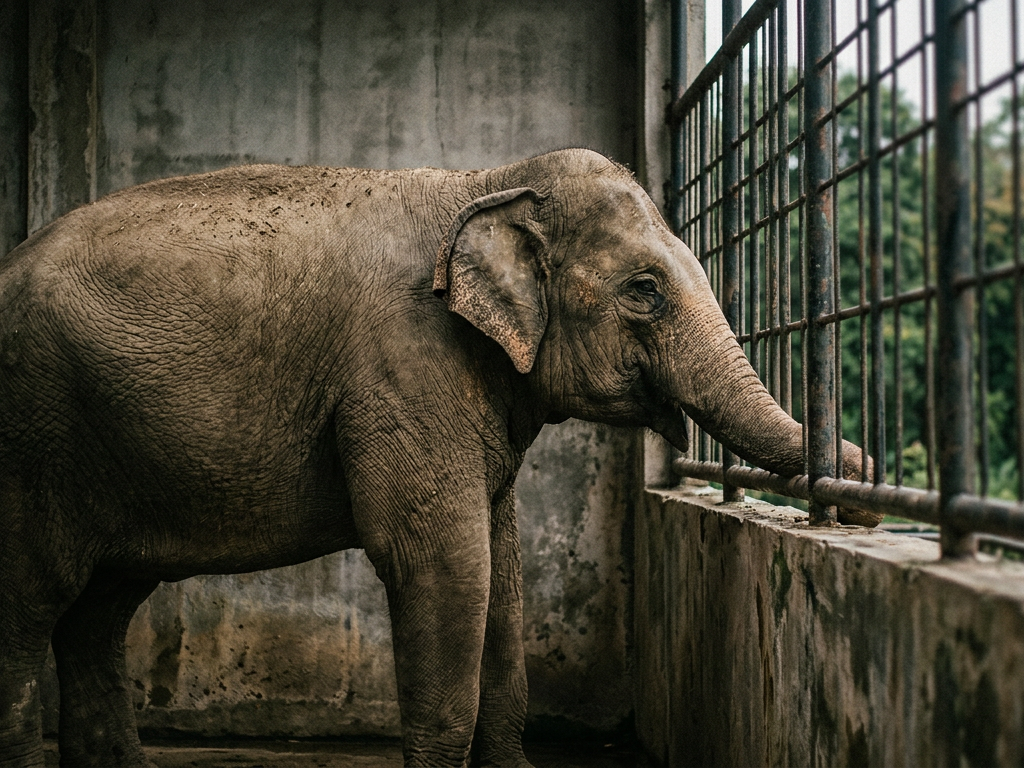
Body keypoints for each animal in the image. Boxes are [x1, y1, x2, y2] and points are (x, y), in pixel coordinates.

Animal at [0, 148, 879, 768]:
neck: (487, 182)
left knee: (98, 610)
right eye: (644, 291)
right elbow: (444, 564)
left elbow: (502, 567)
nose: (865, 476)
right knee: (34, 599)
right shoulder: (405, 363)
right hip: (32, 436)